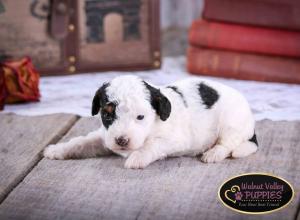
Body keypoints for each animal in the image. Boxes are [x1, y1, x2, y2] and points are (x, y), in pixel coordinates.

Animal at [43, 75, 256, 168]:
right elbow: (82, 142)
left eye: (140, 117)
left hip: (232, 122)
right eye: (107, 115)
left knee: (228, 143)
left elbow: (152, 145)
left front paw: (137, 157)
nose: (121, 141)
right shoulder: (105, 136)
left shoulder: (174, 139)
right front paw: (57, 149)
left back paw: (213, 153)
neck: (152, 126)